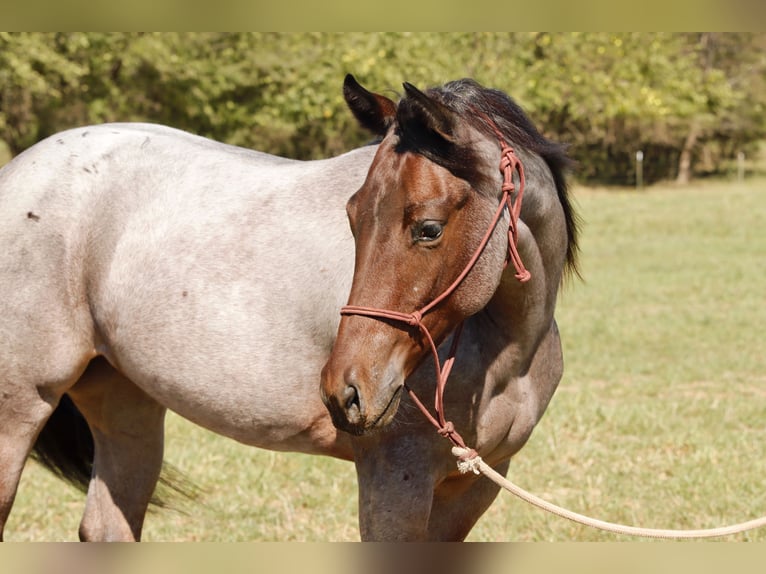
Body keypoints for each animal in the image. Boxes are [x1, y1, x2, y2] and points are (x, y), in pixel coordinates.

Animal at [0, 74, 578, 541]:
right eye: (352, 217)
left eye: (428, 229)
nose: (346, 391)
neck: (507, 355)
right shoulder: (396, 477)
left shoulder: (476, 485)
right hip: (20, 409)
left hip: (125, 404)